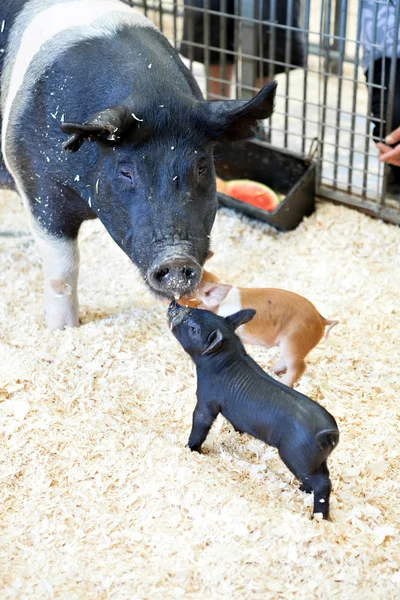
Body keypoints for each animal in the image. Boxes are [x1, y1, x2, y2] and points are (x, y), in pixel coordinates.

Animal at [0, 0, 276, 328]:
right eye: (126, 172)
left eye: (200, 167)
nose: (176, 259)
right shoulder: (37, 185)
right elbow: (63, 271)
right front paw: (63, 329)